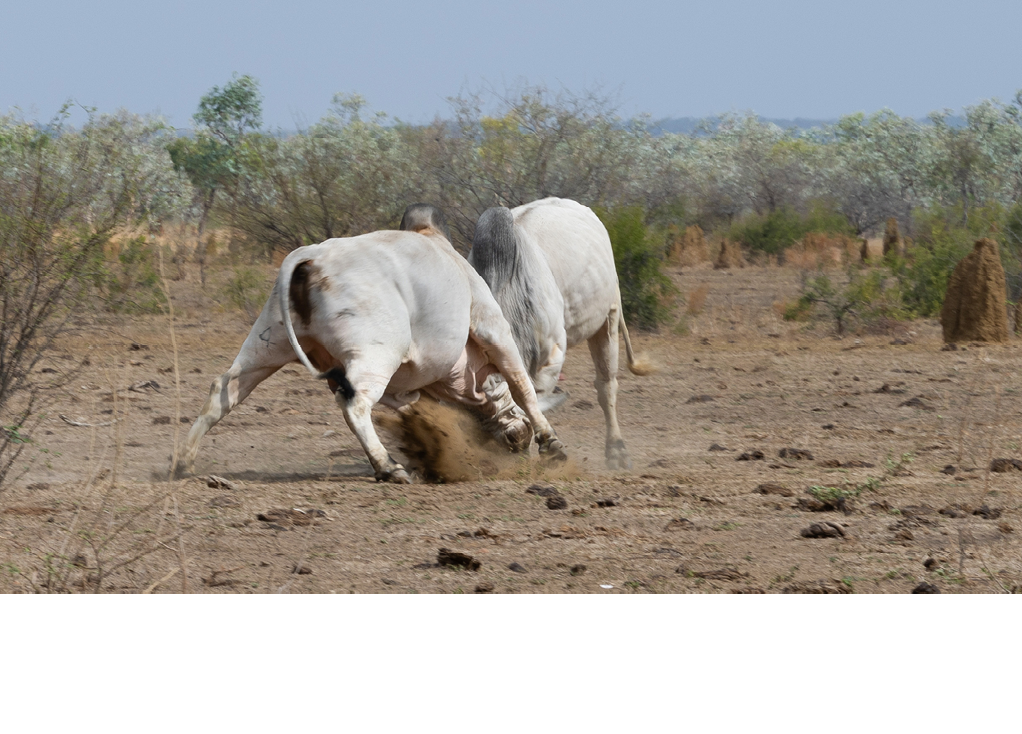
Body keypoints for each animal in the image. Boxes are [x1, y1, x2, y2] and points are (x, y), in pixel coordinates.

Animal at [173, 209, 566, 484]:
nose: (518, 443)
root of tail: (309, 258)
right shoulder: (492, 327)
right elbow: (523, 387)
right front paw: (550, 443)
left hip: (267, 347)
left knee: (223, 391)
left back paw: (183, 461)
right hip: (377, 355)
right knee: (355, 405)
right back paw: (387, 467)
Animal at [467, 197, 651, 470]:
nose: (510, 448)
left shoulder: (551, 356)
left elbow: (528, 395)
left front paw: (549, 444)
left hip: (607, 318)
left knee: (606, 386)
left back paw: (617, 451)